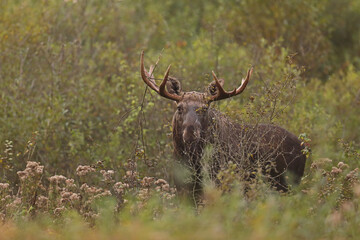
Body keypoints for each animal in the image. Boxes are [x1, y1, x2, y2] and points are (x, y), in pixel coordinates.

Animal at [141, 50, 306, 201]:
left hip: (288, 183)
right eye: (179, 108)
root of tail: (304, 147)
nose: (190, 133)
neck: (193, 161)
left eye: (204, 108)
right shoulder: (182, 188)